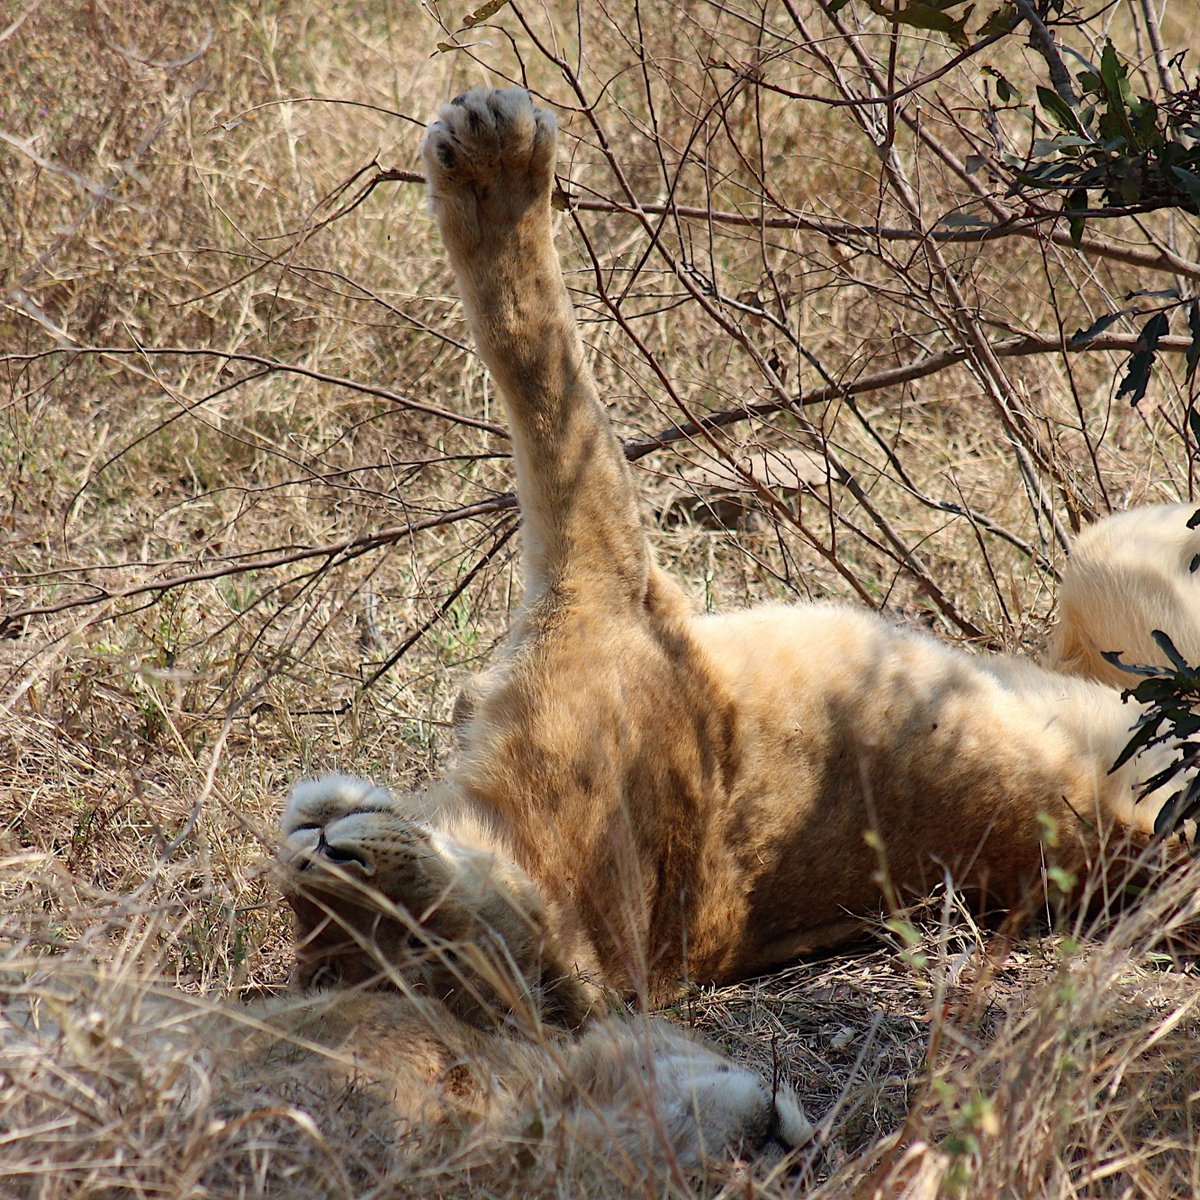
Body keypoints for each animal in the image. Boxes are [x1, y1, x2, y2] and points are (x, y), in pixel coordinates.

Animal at [270, 82, 1200, 1012]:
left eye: (410, 927)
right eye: (336, 934)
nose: (322, 855)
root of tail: (1145, 856)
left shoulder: (605, 582)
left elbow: (533, 357)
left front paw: (495, 164)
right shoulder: (609, 590)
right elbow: (537, 360)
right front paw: (496, 163)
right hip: (1112, 582)